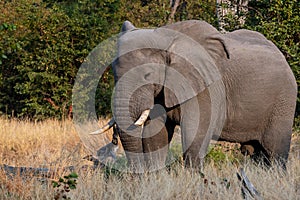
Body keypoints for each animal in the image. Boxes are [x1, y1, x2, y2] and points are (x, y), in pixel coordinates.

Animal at [90, 19, 296, 172]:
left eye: (147, 75)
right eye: (114, 74)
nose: (114, 139)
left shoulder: (206, 85)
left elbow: (195, 134)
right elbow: (156, 135)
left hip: (284, 100)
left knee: (275, 152)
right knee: (257, 154)